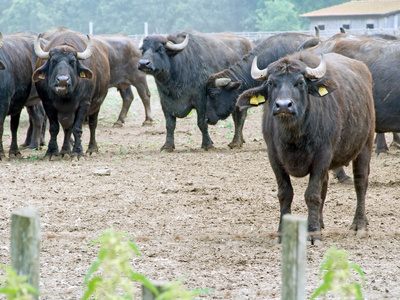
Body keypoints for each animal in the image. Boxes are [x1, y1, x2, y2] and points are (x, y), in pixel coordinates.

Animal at [32, 31, 110, 159]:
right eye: (53, 61)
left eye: (72, 62)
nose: (63, 80)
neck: (65, 97)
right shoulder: (48, 104)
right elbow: (54, 128)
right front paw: (52, 152)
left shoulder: (84, 104)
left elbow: (77, 128)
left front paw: (78, 152)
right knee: (67, 129)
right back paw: (65, 151)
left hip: (97, 104)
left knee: (93, 124)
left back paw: (92, 149)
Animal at [236, 51, 374, 244]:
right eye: (270, 83)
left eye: (300, 82)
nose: (284, 105)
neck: (294, 136)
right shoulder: (274, 157)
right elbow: (285, 193)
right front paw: (283, 232)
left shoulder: (323, 155)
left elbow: (312, 194)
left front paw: (313, 233)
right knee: (325, 185)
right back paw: (321, 222)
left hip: (365, 144)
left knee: (360, 182)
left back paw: (359, 225)